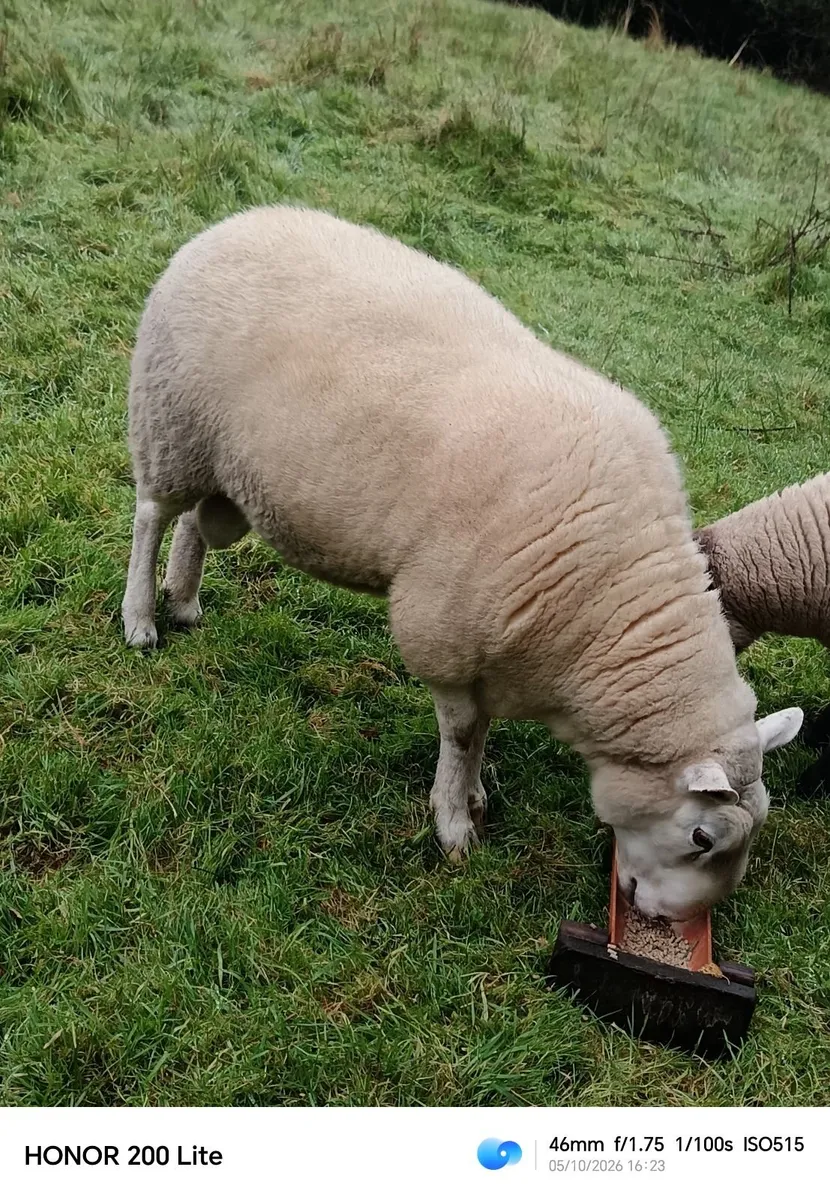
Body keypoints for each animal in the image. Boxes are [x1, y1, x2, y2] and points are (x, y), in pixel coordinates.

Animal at [121, 204, 802, 920]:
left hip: (221, 464)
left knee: (194, 522)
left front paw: (473, 797)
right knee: (152, 515)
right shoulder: (443, 634)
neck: (605, 612)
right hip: (170, 420)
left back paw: (185, 600)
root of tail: (230, 223)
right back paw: (141, 619)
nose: (671, 921)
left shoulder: (498, 653)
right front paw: (453, 824)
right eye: (701, 836)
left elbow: (480, 733)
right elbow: (462, 734)